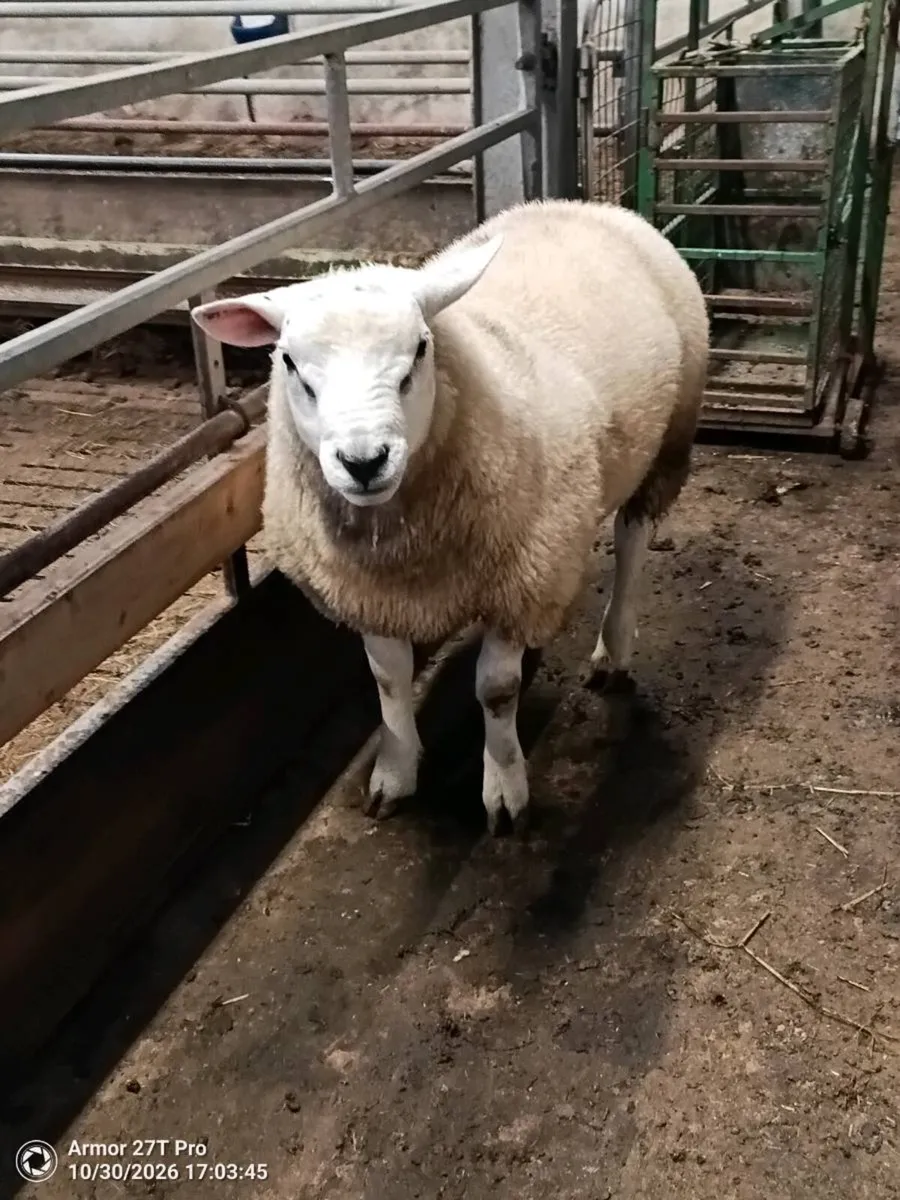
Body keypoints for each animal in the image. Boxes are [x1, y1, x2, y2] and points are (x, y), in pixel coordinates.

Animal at [190, 198, 709, 836]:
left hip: (668, 440)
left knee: (632, 540)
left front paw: (504, 789)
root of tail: (575, 205)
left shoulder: (525, 580)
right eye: (288, 362)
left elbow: (497, 691)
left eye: (420, 349)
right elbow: (388, 678)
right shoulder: (370, 592)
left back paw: (613, 649)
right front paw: (395, 772)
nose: (364, 461)